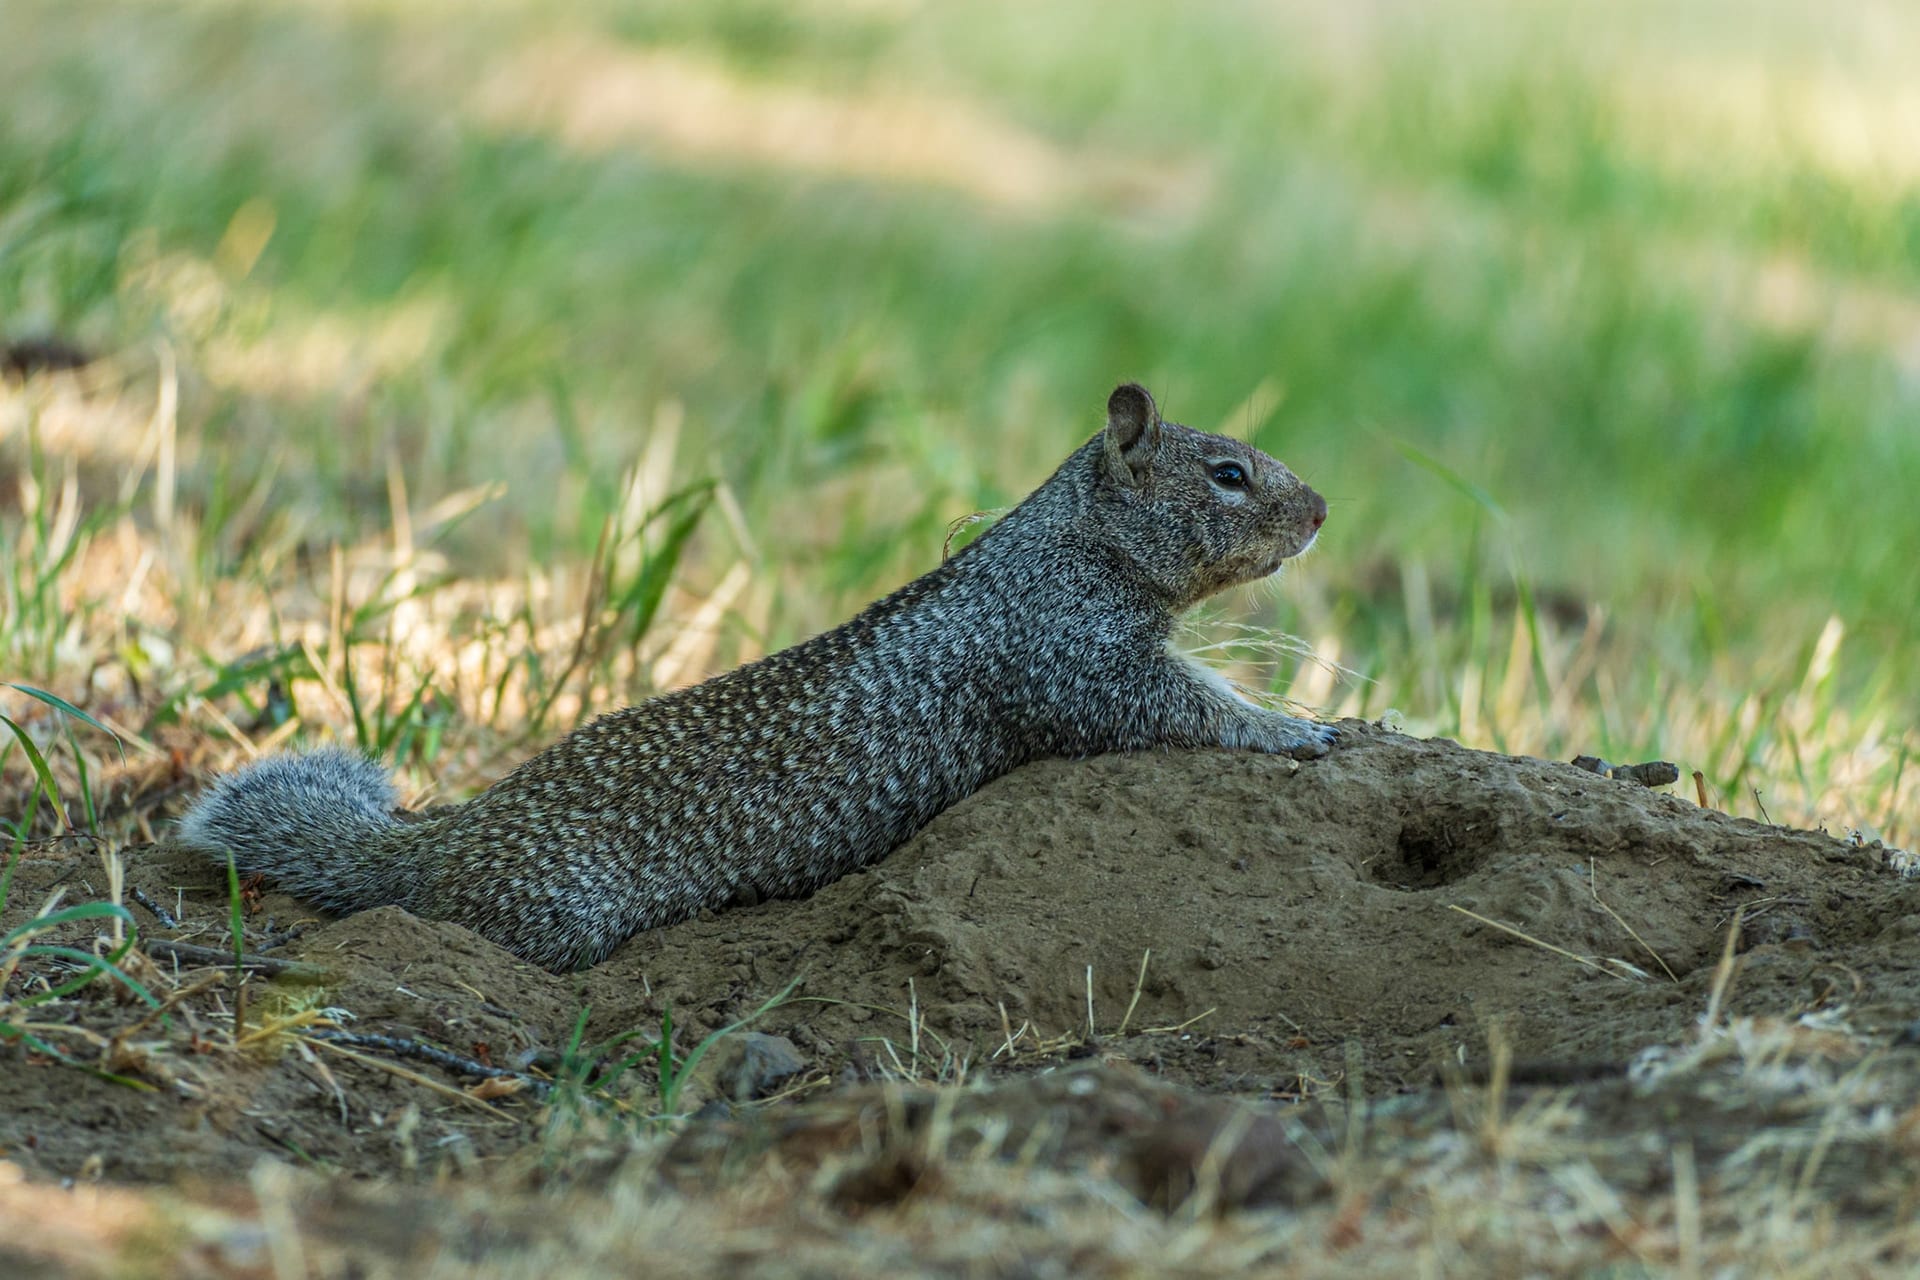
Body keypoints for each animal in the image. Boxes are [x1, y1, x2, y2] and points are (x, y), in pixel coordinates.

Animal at [177, 383, 1336, 971]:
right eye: (1229, 474)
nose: (1323, 510)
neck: (1069, 544)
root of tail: (435, 843)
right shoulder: (1074, 656)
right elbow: (1175, 703)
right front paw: (1294, 730)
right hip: (551, 910)